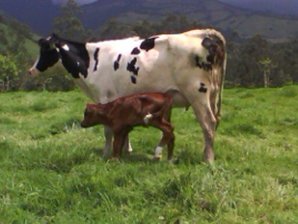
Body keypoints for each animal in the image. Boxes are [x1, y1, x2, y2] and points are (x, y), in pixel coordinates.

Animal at [29, 29, 227, 163]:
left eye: (45, 50)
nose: (31, 70)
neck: (91, 61)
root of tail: (202, 34)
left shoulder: (104, 97)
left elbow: (107, 130)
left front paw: (107, 153)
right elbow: (124, 127)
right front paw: (127, 150)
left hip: (198, 95)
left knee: (208, 124)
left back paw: (208, 159)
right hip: (208, 96)